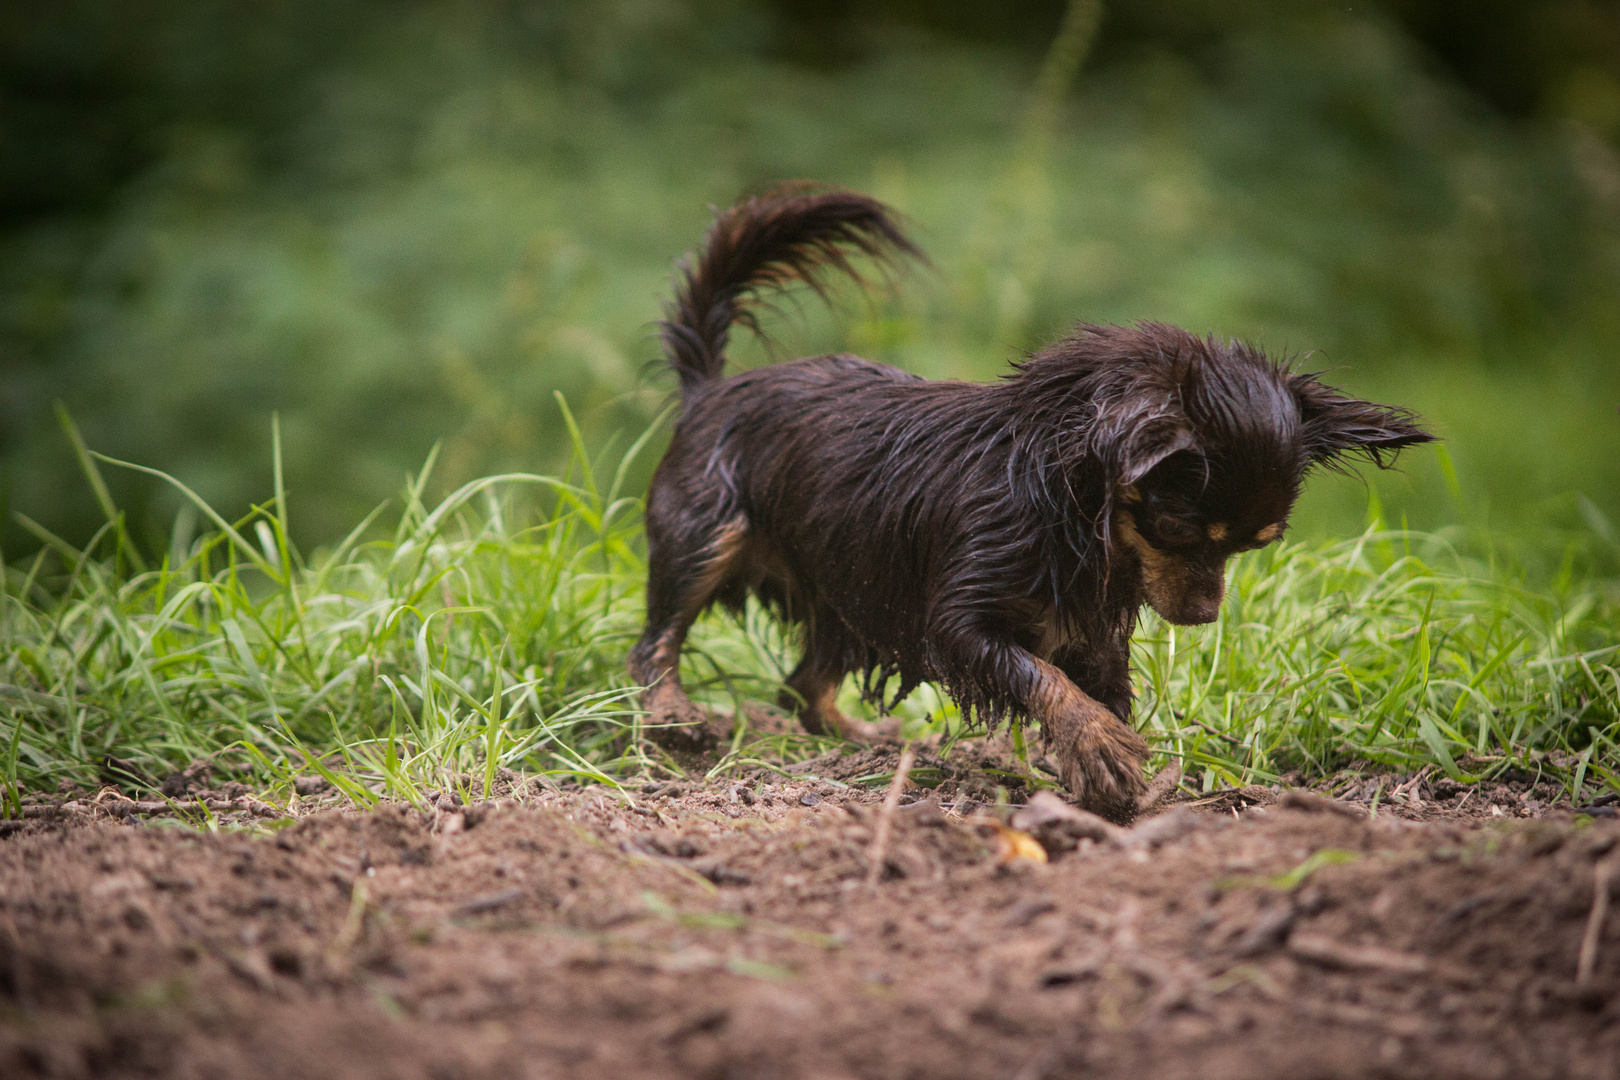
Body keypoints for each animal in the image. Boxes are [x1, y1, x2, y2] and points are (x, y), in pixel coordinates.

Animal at [625, 186, 1438, 819]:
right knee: (656, 640)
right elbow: (1045, 680)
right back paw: (673, 712)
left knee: (802, 684)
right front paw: (1101, 750)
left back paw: (862, 739)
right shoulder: (959, 622)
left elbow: (1097, 690)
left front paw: (1112, 773)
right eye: (1179, 529)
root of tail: (709, 388)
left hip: (849, 582)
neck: (1068, 512)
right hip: (707, 537)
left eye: (1253, 546)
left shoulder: (1094, 633)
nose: (1207, 614)